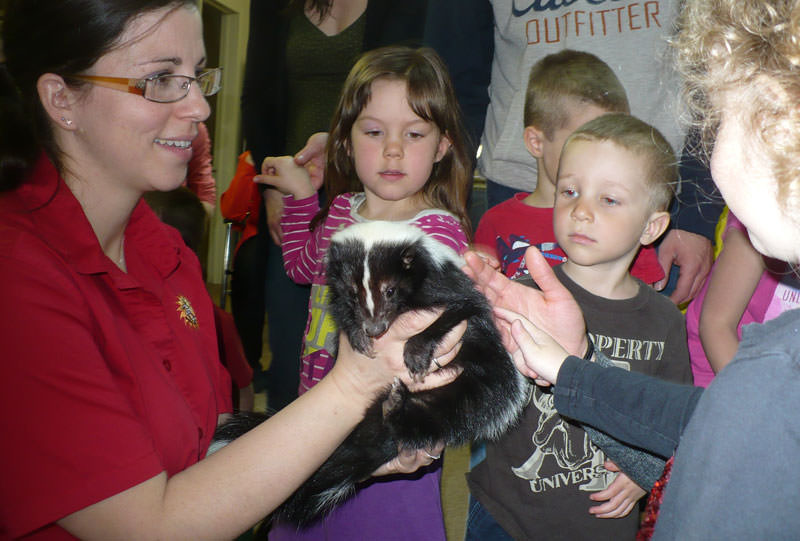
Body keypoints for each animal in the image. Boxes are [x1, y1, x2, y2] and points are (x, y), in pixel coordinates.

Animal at [212, 221, 532, 524]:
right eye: (354, 293)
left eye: (390, 290)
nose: (375, 328)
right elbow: (340, 310)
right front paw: (356, 335)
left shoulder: (449, 286)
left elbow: (457, 311)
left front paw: (416, 353)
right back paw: (392, 406)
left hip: (476, 388)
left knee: (442, 414)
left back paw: (397, 408)